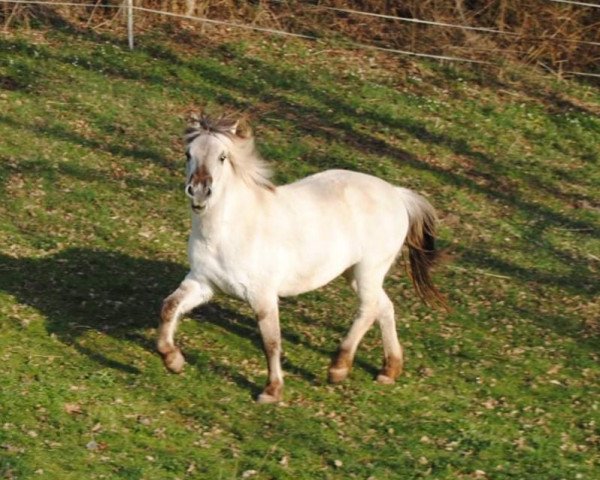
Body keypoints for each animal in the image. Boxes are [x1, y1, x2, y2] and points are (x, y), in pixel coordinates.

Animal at [157, 114, 448, 404]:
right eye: (188, 154)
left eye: (222, 157)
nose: (199, 191)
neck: (228, 230)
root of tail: (397, 194)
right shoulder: (203, 283)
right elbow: (169, 306)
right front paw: (173, 360)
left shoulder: (263, 296)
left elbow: (271, 342)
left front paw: (272, 391)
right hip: (354, 273)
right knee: (384, 307)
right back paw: (388, 370)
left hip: (369, 269)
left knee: (368, 309)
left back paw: (338, 368)